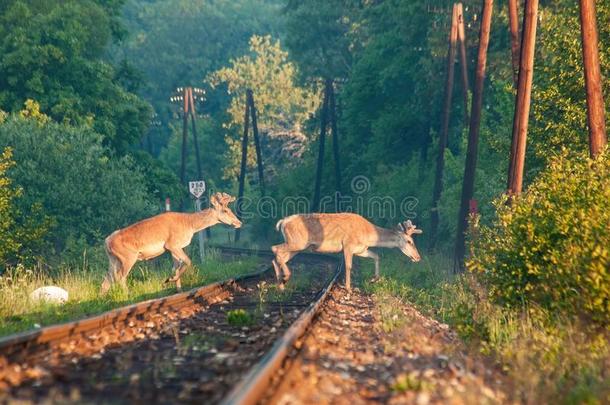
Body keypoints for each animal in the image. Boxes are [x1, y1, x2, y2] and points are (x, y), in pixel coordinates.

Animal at [100, 191, 240, 292]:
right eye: (226, 210)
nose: (239, 222)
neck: (190, 225)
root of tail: (107, 242)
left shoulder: (173, 248)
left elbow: (176, 267)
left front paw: (178, 288)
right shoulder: (172, 244)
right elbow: (188, 261)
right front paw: (169, 280)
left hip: (113, 259)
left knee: (107, 281)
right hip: (128, 257)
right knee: (120, 278)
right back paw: (127, 295)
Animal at [272, 213, 422, 288]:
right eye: (410, 241)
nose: (418, 257)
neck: (368, 235)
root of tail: (282, 222)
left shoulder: (361, 249)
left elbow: (376, 256)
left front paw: (373, 280)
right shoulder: (348, 245)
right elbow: (349, 266)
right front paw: (349, 288)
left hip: (298, 245)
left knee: (279, 256)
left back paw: (281, 283)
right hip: (297, 242)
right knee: (275, 248)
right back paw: (285, 277)